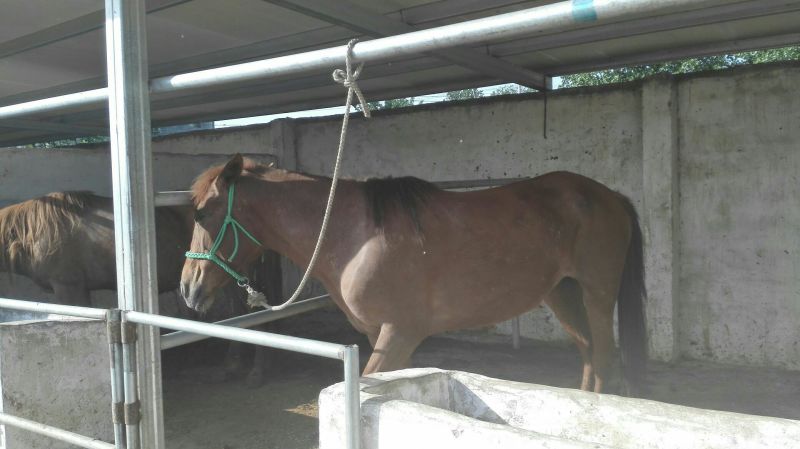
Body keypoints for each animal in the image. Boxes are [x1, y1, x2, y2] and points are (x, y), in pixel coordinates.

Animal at [181, 154, 647, 394]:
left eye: (202, 214)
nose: (188, 289)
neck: (354, 235)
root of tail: (610, 196)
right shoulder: (380, 335)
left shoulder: (400, 333)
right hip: (562, 293)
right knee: (589, 353)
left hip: (596, 292)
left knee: (604, 355)